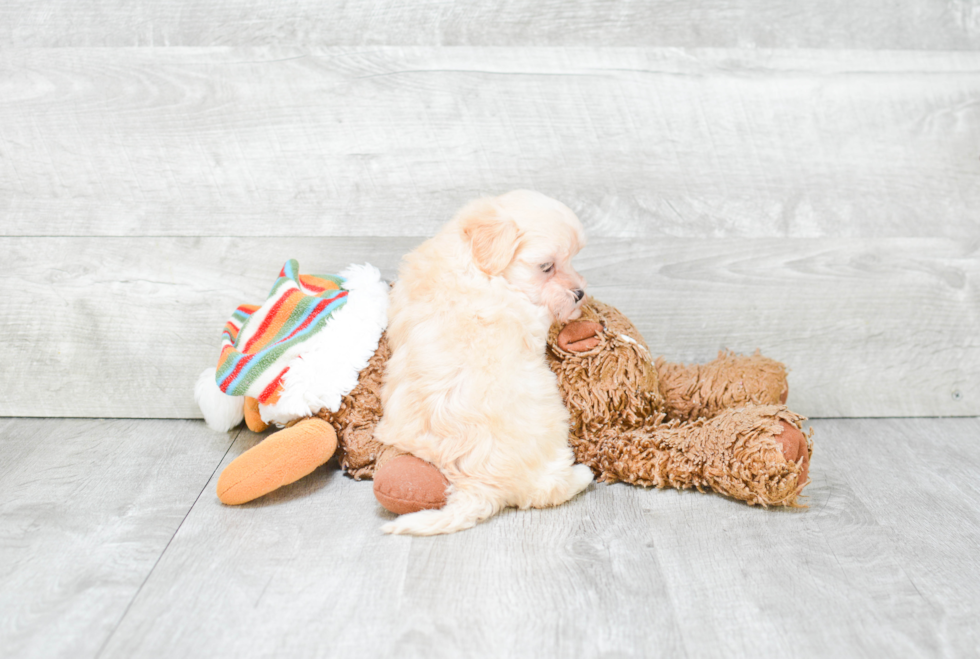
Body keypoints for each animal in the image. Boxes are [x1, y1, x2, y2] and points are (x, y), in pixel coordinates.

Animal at [374, 188, 588, 532]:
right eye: (546, 266)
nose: (580, 293)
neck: (473, 260)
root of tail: (479, 486)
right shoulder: (529, 314)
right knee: (550, 490)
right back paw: (582, 475)